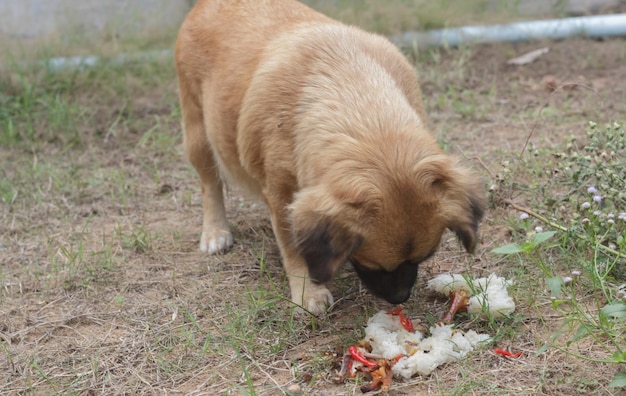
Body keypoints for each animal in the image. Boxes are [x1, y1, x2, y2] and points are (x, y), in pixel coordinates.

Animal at [173, 0, 486, 316]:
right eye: (371, 263)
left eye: (422, 258)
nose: (400, 298)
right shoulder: (282, 196)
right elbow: (293, 246)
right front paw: (306, 291)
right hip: (199, 135)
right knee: (209, 184)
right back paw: (215, 231)